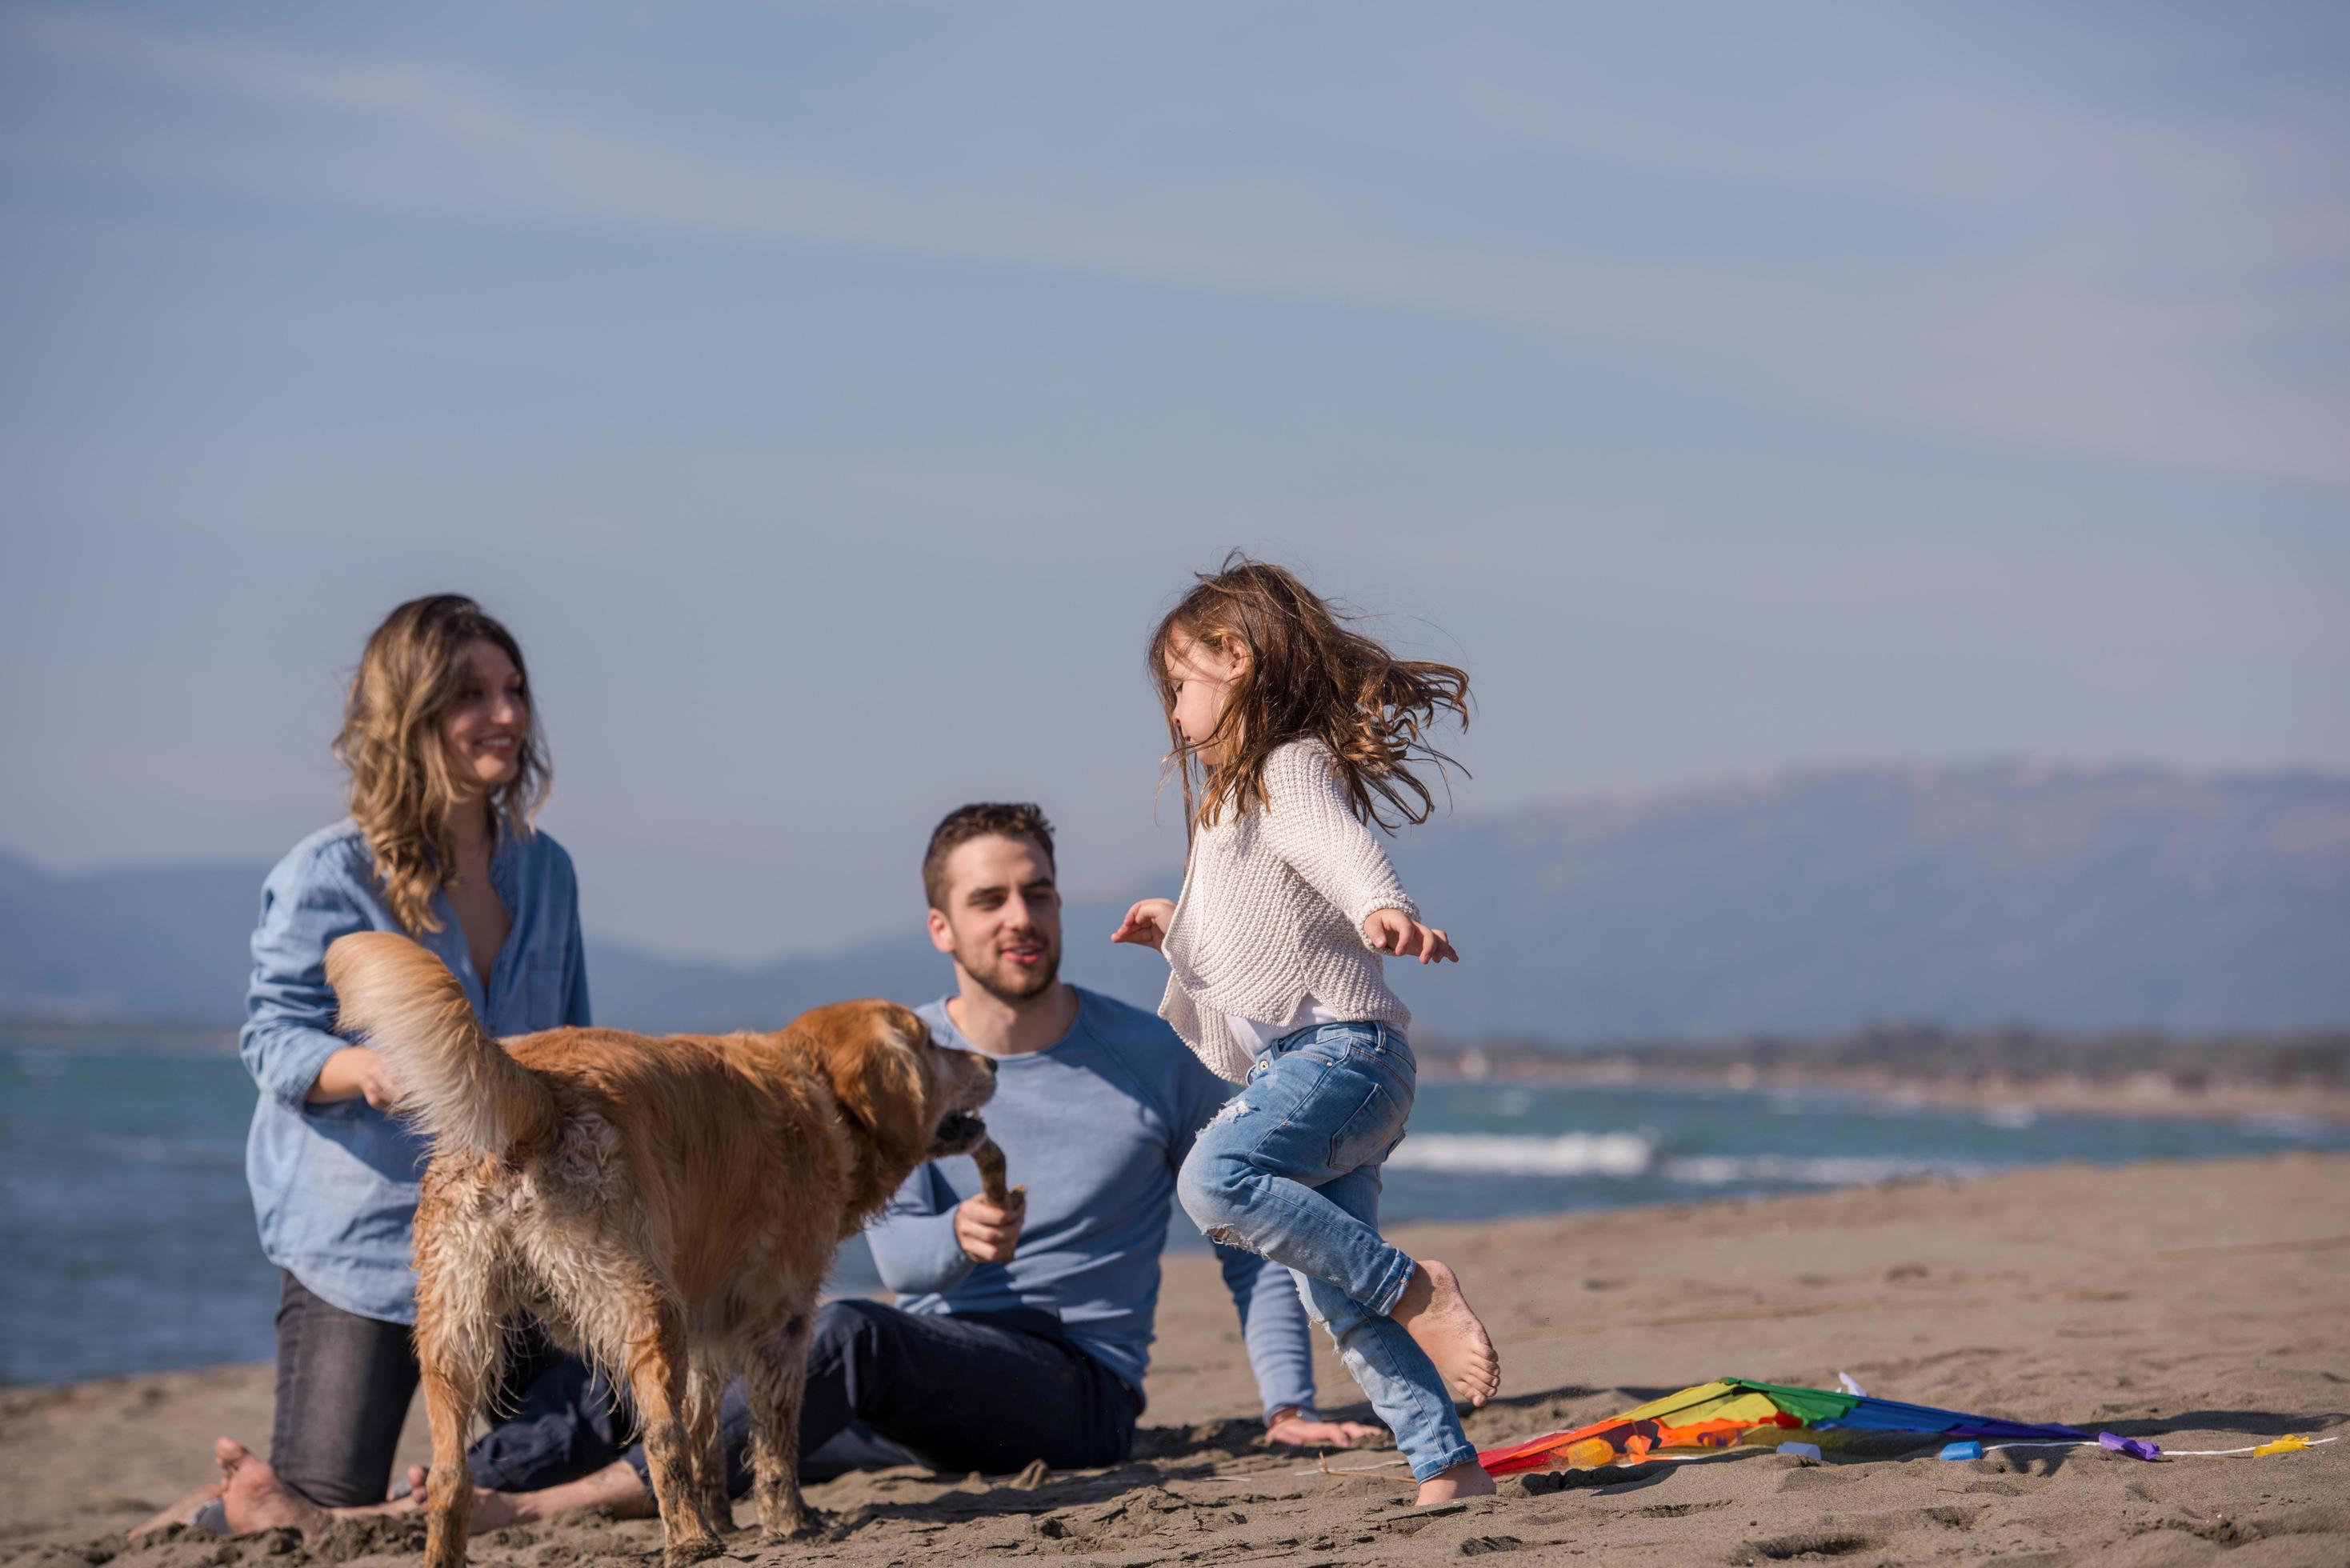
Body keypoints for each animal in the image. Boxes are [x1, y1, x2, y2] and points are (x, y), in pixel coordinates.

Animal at [326, 930, 996, 1568]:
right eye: (931, 1043)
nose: (990, 1058)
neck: (822, 1094)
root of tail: (538, 1088)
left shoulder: (706, 1328)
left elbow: (708, 1434)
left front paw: (726, 1516)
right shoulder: (781, 1317)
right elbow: (772, 1438)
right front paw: (788, 1522)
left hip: (453, 1332)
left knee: (449, 1475)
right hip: (647, 1308)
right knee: (660, 1438)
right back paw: (690, 1543)